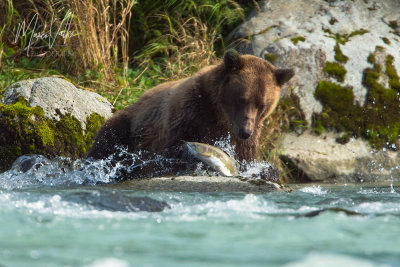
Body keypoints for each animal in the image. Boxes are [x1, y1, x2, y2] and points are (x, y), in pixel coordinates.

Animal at [86, 49, 294, 164]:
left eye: (262, 105)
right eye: (242, 99)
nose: (245, 131)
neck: (219, 113)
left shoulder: (245, 135)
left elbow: (245, 156)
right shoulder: (190, 113)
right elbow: (174, 145)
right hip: (129, 124)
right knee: (106, 141)